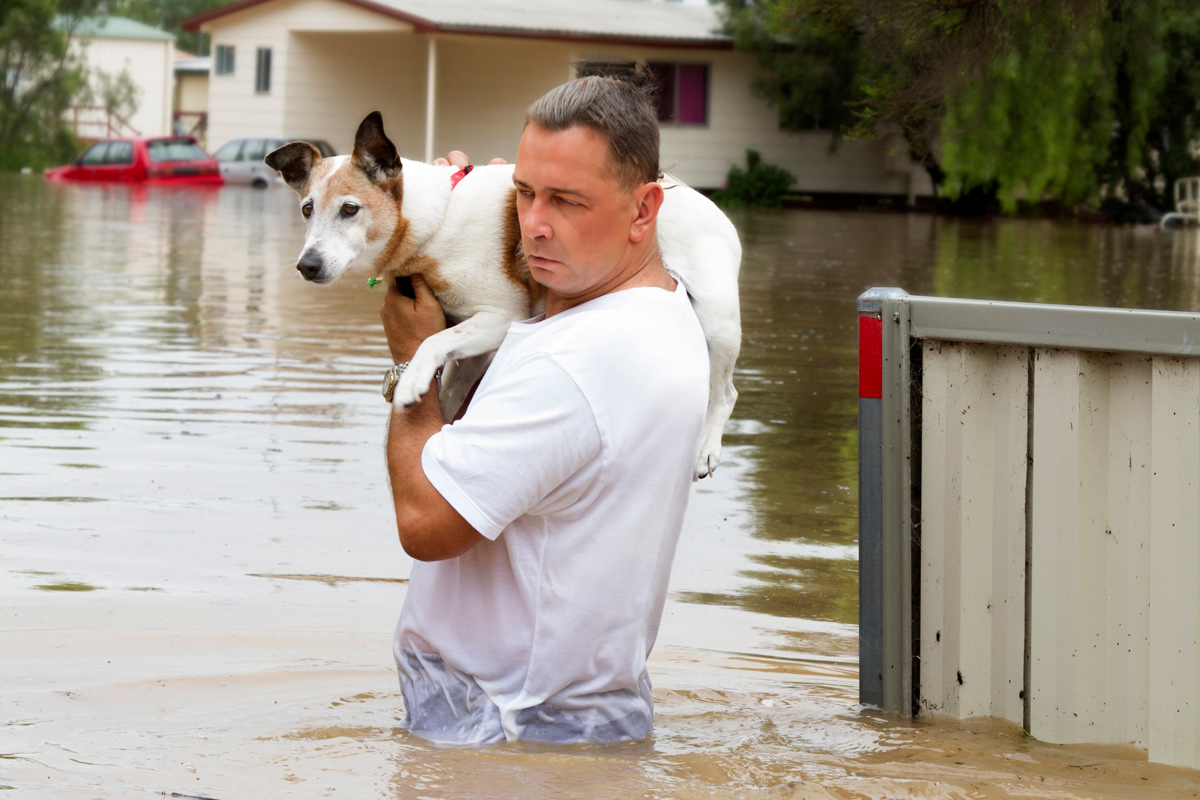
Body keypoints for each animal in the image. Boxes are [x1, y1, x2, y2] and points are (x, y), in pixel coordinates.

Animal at [265, 109, 739, 479]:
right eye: (307, 209)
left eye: (350, 209)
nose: (306, 266)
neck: (431, 223)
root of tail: (711, 205)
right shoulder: (474, 346)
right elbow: (448, 390)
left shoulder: (503, 315)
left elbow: (432, 341)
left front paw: (412, 381)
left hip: (718, 326)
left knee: (726, 391)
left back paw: (707, 449)